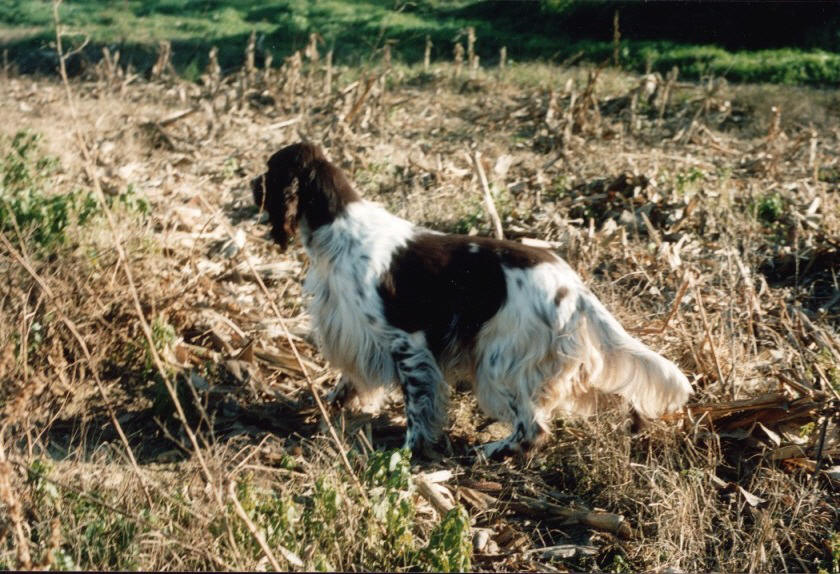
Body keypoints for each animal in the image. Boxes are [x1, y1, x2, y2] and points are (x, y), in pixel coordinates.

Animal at [253, 143, 692, 460]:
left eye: (270, 169)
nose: (251, 184)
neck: (338, 229)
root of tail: (574, 289)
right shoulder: (357, 336)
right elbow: (346, 383)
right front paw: (320, 408)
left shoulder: (406, 342)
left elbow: (417, 407)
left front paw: (408, 452)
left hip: (501, 363)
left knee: (533, 428)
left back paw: (490, 451)